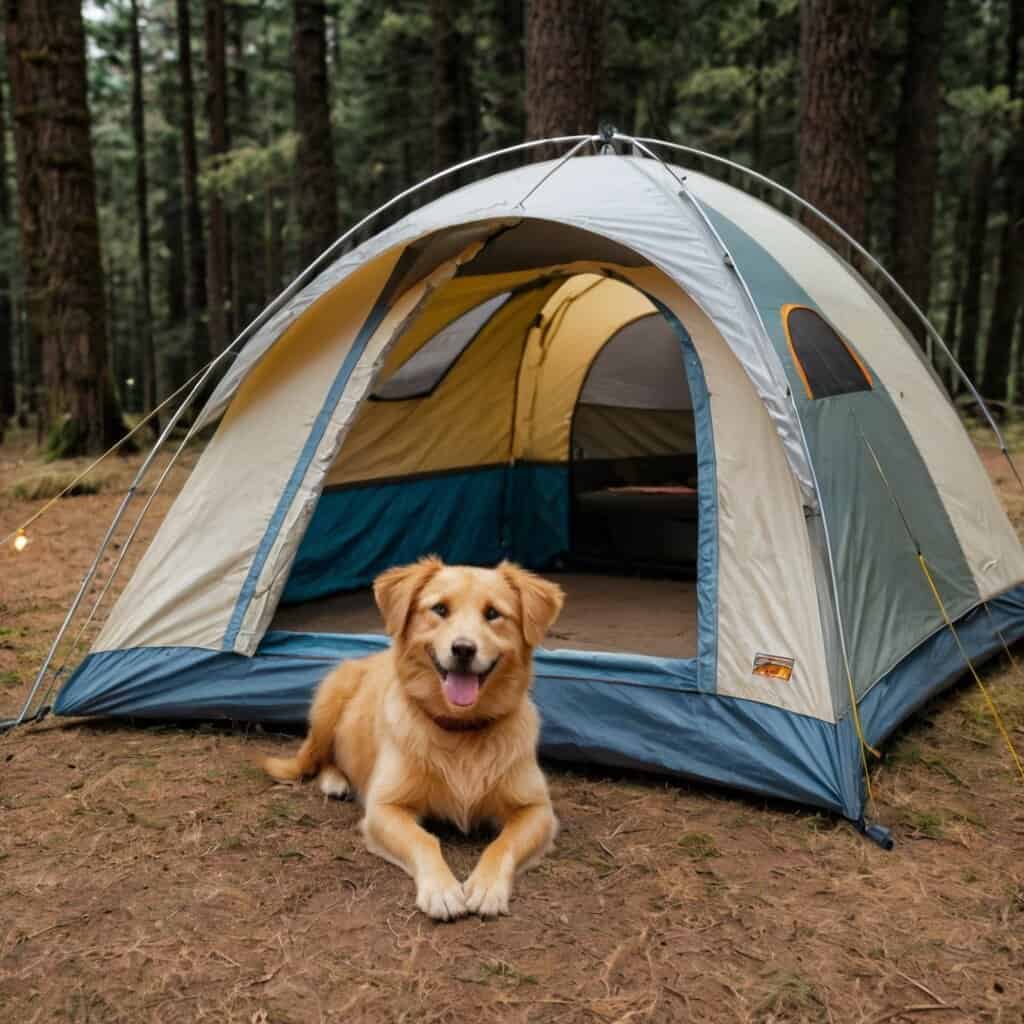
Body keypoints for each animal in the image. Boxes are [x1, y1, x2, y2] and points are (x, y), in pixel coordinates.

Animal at [264, 557, 565, 925]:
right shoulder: (385, 808)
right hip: (329, 701)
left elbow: (502, 843)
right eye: (440, 608)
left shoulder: (538, 810)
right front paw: (442, 890)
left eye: (493, 613)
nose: (463, 649)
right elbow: (425, 840)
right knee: (319, 757)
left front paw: (485, 886)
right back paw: (335, 780)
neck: (461, 731)